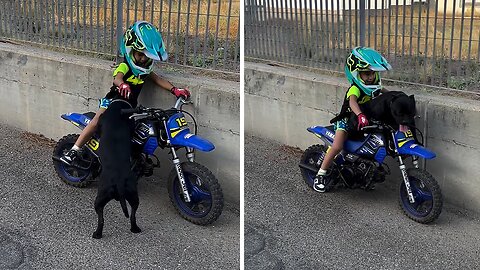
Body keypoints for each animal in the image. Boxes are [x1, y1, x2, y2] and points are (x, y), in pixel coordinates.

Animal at [91, 99, 141, 238]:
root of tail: (119, 181)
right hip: (133, 195)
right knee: (133, 215)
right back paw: (135, 228)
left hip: (100, 198)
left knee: (101, 219)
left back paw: (97, 233)